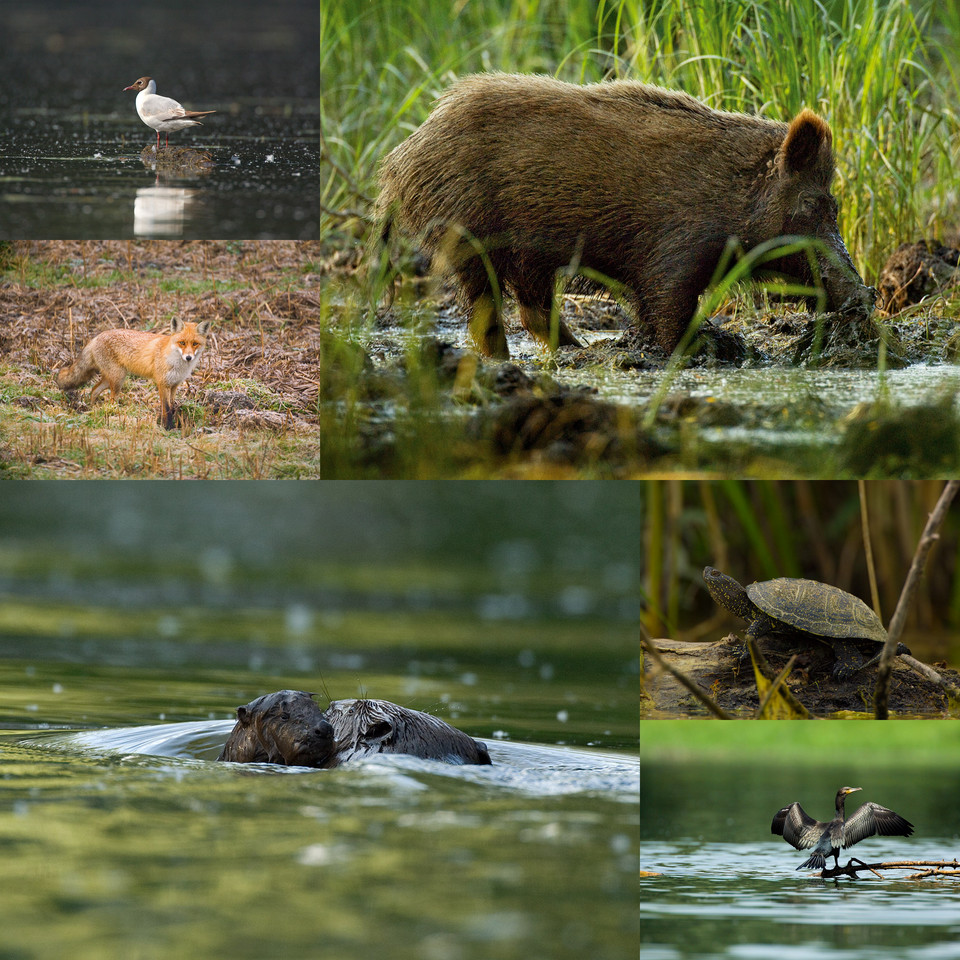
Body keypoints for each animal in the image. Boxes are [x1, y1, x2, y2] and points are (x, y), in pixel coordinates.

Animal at [57, 318, 211, 428]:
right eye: (182, 343)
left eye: (195, 344)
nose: (188, 357)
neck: (177, 364)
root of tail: (97, 337)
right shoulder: (162, 383)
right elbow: (166, 408)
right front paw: (167, 427)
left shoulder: (174, 385)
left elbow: (171, 407)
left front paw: (168, 424)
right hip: (118, 379)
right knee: (110, 400)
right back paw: (113, 416)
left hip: (112, 378)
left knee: (94, 390)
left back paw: (93, 410)